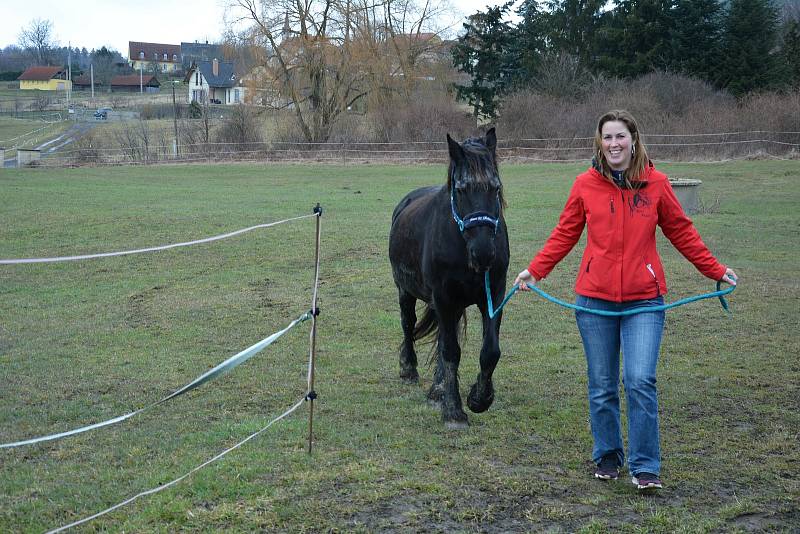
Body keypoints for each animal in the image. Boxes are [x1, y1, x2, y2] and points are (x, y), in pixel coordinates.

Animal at [390, 130, 510, 432]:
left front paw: (479, 398)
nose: (483, 252)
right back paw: (409, 369)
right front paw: (454, 411)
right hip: (406, 291)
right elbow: (451, 351)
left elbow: (489, 351)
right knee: (408, 324)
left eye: (495, 188)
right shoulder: (443, 299)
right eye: (461, 189)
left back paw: (438, 388)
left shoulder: (493, 295)